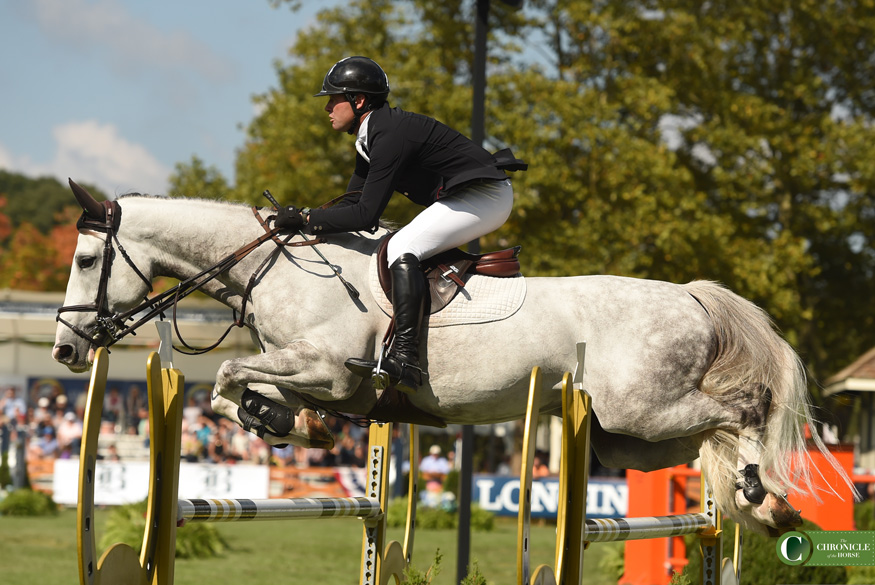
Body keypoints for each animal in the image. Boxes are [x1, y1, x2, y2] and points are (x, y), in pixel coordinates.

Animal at [53, 181, 848, 532]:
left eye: (88, 259)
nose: (64, 347)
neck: (275, 268)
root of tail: (690, 295)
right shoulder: (317, 377)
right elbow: (241, 389)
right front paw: (295, 427)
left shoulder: (329, 371)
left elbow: (224, 376)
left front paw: (288, 424)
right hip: (632, 437)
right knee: (707, 435)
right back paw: (761, 501)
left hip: (643, 409)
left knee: (744, 409)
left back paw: (762, 493)